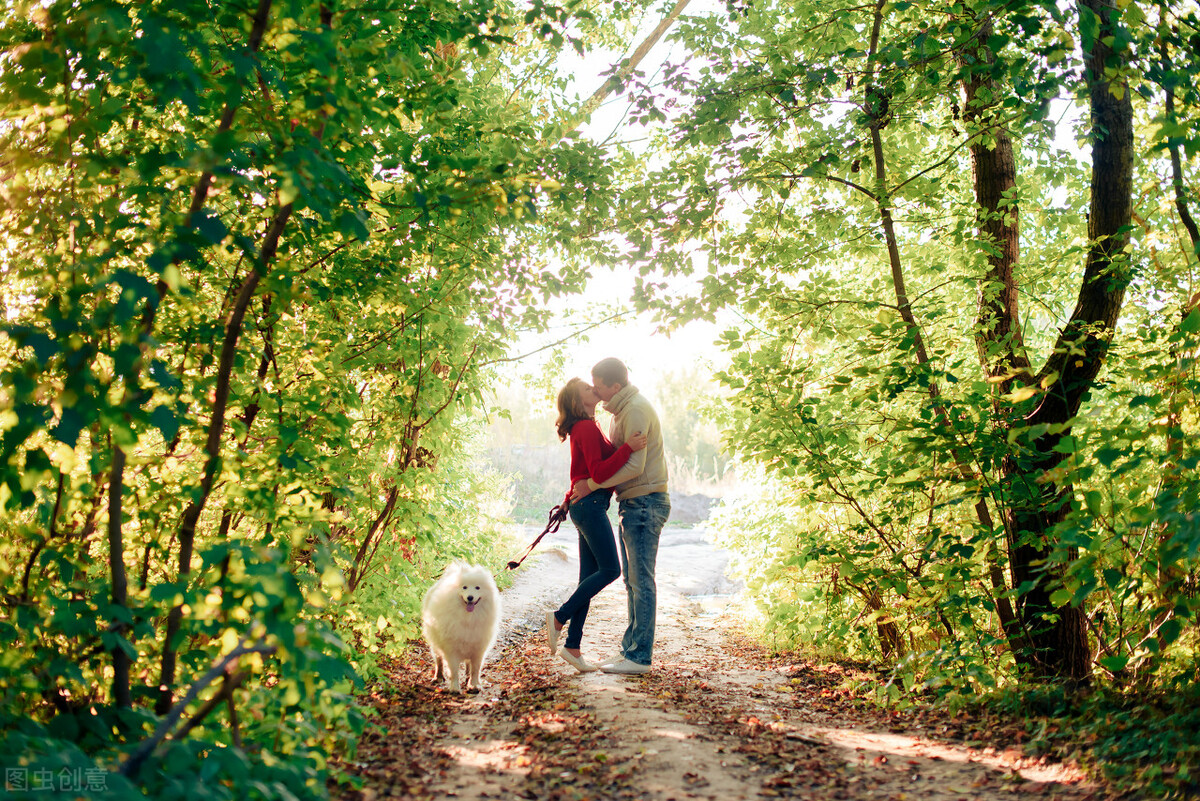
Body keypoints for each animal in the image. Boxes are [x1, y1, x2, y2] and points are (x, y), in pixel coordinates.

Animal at [420, 561, 499, 690]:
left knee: (468, 665)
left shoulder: (478, 649)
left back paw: (468, 680)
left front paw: (474, 685)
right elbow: (454, 670)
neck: (468, 618)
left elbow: (475, 669)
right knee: (439, 660)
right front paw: (455, 688)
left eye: (477, 587)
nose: (470, 597)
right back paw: (438, 677)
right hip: (435, 643)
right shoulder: (451, 648)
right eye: (464, 587)